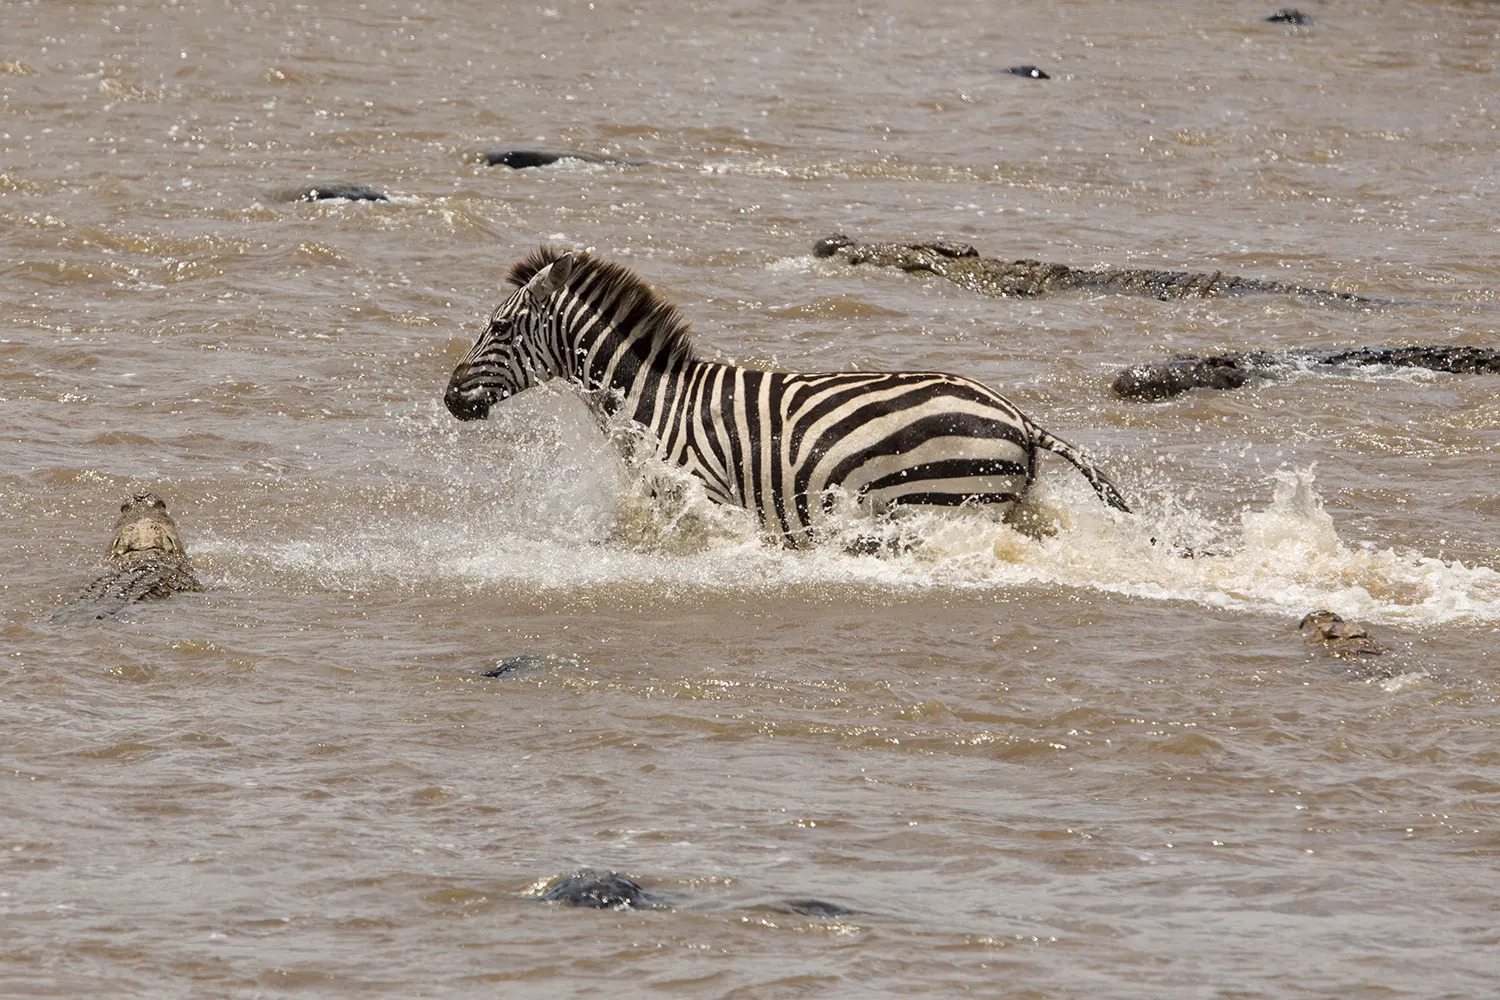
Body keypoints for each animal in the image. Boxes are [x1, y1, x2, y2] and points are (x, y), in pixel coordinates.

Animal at [441, 250, 1128, 548]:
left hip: (941, 500)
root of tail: (1020, 418)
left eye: (498, 328)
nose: (449, 397)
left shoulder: (706, 495)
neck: (655, 401)